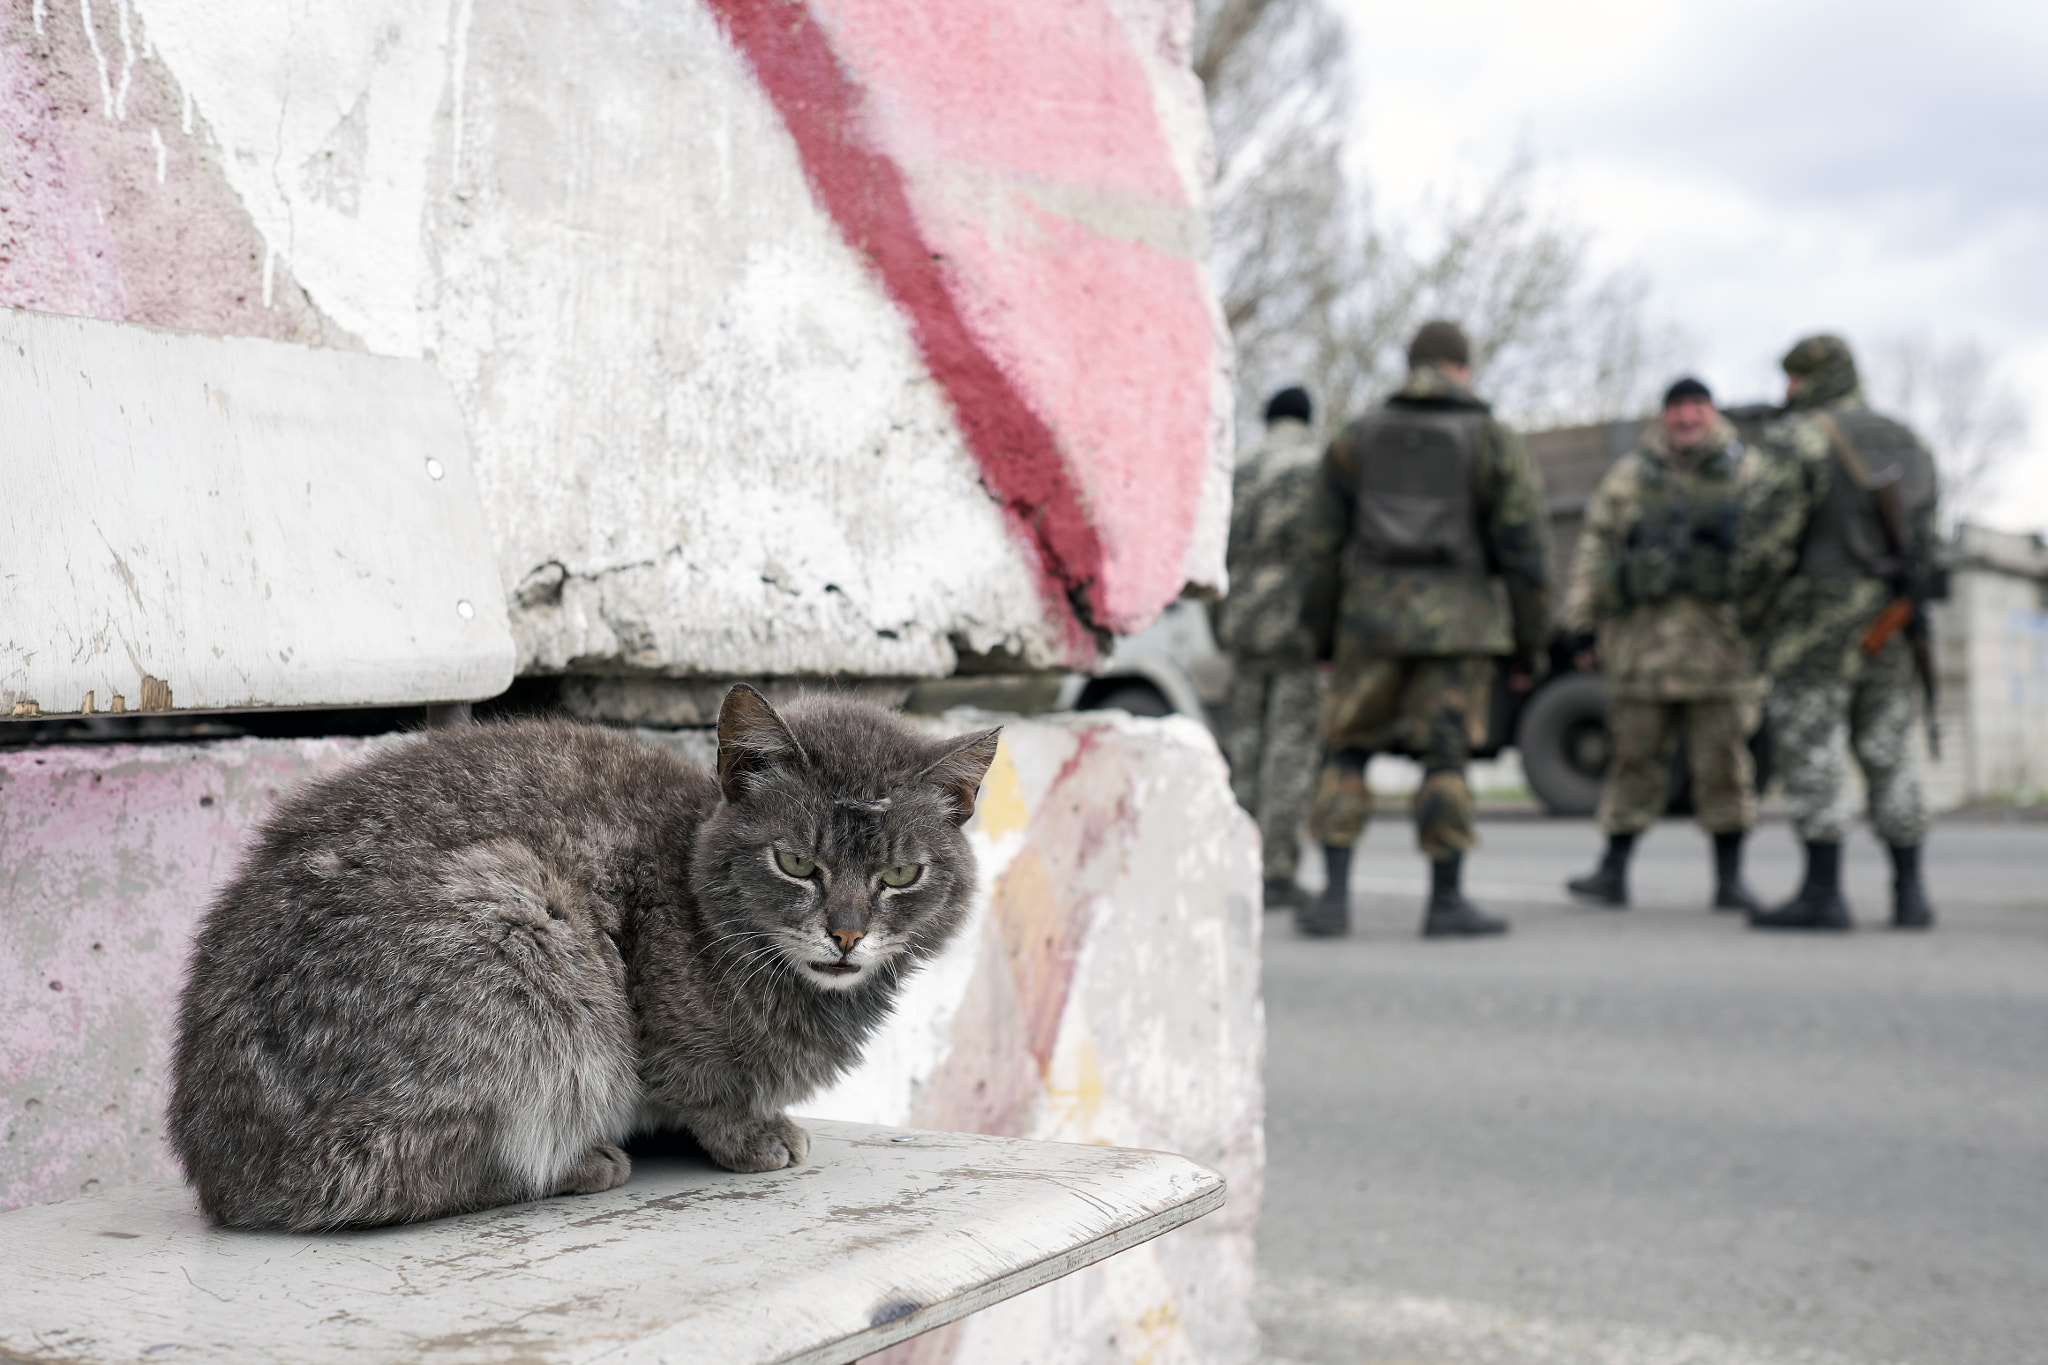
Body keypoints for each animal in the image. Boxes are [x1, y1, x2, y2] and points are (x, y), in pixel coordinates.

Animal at [165, 687, 999, 1236]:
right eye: (795, 862)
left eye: (902, 874)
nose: (847, 934)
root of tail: (228, 1172)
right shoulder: (663, 1033)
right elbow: (705, 1088)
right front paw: (751, 1133)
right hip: (527, 946)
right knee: (386, 1175)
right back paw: (576, 1162)